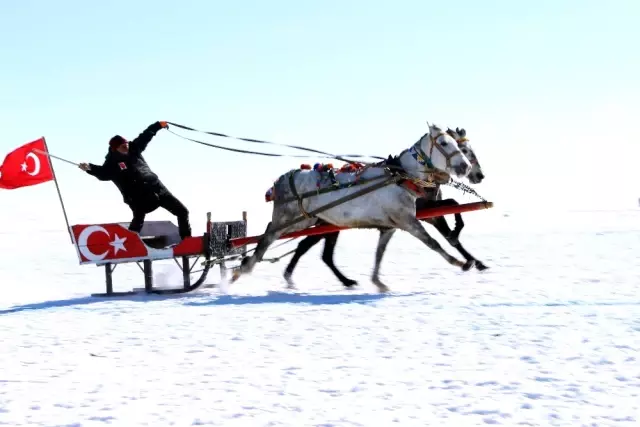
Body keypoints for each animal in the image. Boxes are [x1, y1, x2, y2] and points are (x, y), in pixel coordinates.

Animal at [232, 122, 472, 292]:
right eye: (445, 144)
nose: (467, 167)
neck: (400, 178)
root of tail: (283, 179)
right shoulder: (408, 221)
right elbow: (433, 243)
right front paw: (460, 262)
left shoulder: (391, 226)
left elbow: (379, 253)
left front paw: (378, 282)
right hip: (291, 219)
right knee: (268, 236)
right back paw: (243, 269)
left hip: (309, 220)